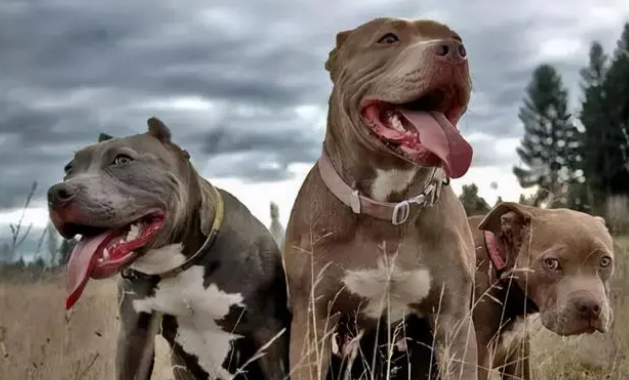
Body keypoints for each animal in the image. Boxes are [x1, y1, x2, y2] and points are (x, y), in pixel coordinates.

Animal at [282, 16, 478, 378]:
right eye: (388, 38)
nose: (455, 50)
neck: (389, 207)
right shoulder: (312, 322)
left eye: (456, 37)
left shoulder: (454, 321)